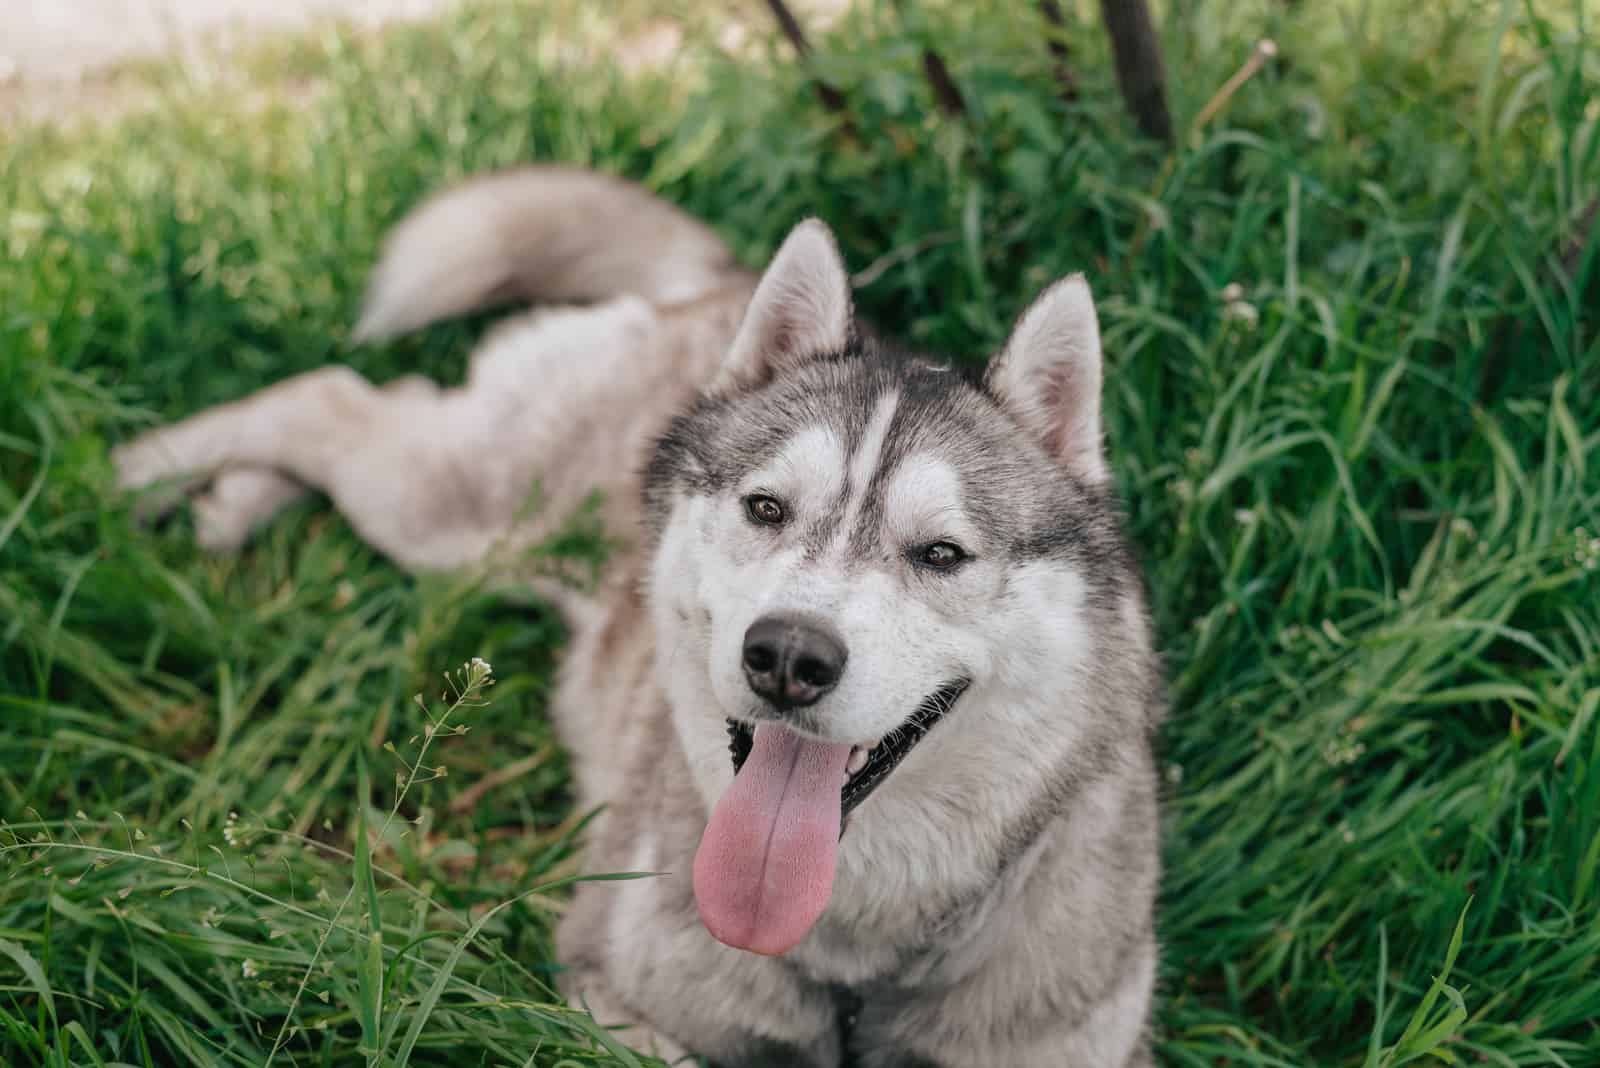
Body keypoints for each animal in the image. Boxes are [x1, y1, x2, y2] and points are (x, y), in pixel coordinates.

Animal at [112, 168, 1164, 1068]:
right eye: (766, 508)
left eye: (940, 555)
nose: (788, 656)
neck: (850, 959)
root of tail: (721, 287)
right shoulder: (600, 990)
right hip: (456, 507)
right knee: (331, 396)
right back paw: (134, 472)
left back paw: (232, 499)